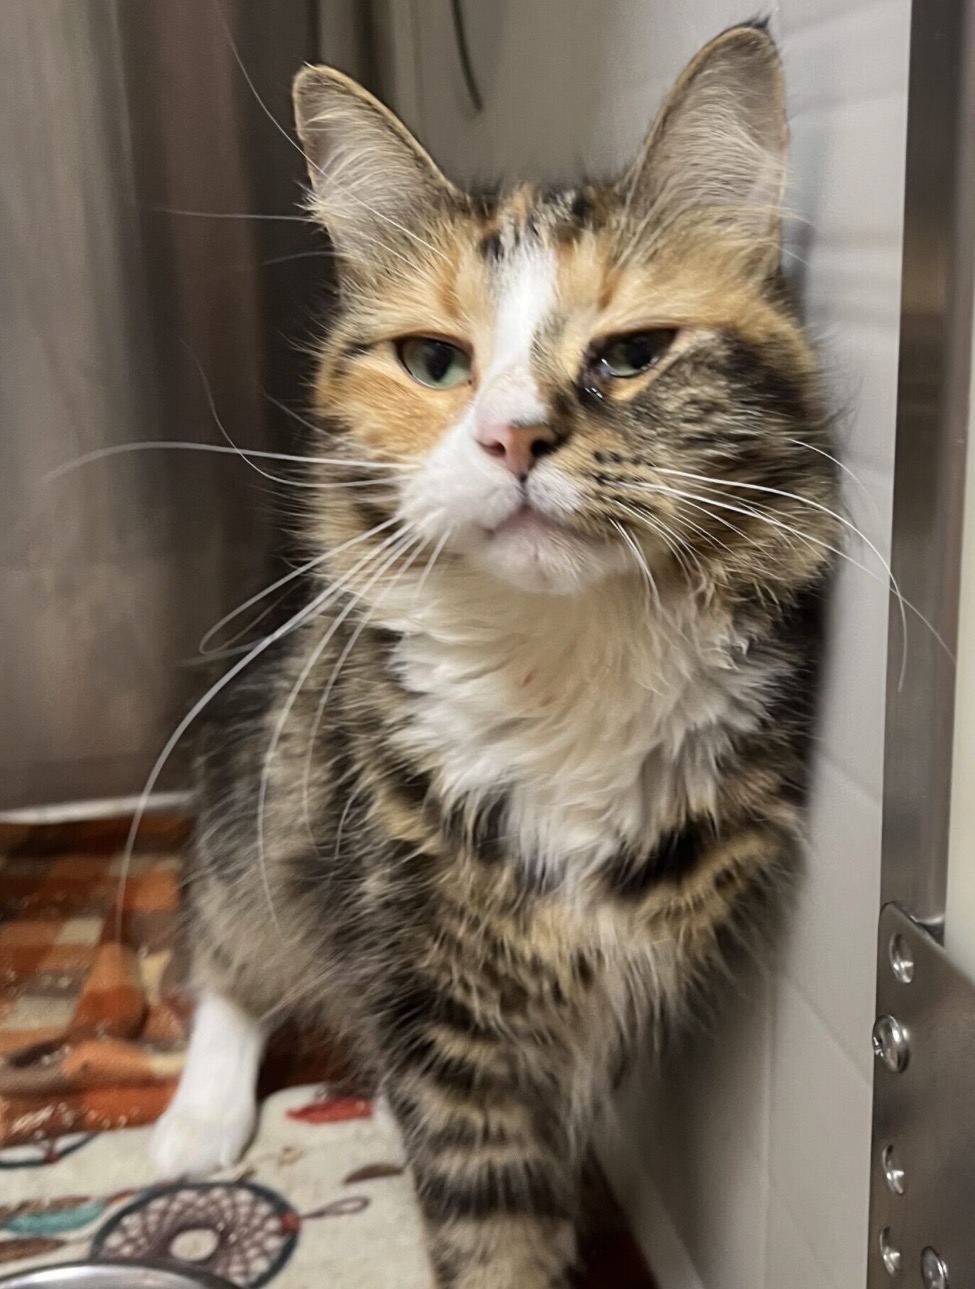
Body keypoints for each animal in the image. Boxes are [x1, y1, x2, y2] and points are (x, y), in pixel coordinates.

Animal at [150, 22, 838, 1289]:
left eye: (632, 355)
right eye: (433, 361)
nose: (514, 436)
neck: (561, 667)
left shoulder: (608, 998)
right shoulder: (439, 1002)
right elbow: (489, 1222)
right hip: (266, 790)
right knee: (225, 946)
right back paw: (197, 1121)